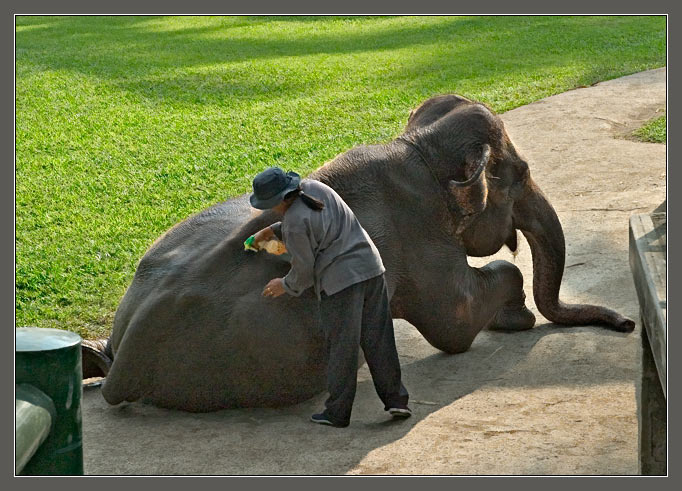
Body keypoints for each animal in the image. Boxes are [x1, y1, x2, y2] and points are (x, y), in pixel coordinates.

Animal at [82, 94, 635, 412]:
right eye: (520, 174)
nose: (627, 324)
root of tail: (124, 356)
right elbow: (454, 325)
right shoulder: (420, 247)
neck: (416, 147)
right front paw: (514, 316)